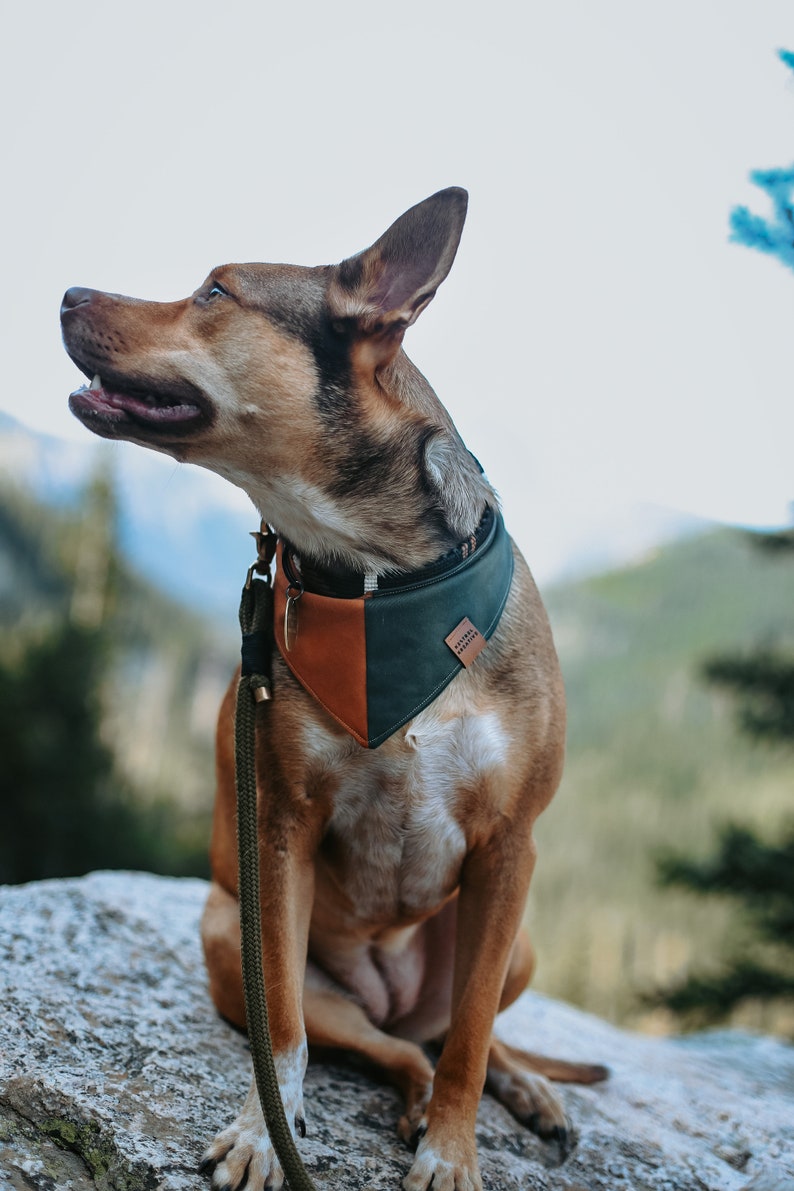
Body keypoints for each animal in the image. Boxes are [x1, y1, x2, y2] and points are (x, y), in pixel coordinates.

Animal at [63, 190, 609, 1191]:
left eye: (214, 291)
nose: (66, 291)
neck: (376, 586)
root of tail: (387, 989)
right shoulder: (281, 827)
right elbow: (282, 1023)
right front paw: (260, 1133)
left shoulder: (510, 848)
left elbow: (471, 1036)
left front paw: (453, 1152)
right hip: (227, 930)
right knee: (393, 1048)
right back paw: (415, 1098)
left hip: (517, 936)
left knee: (453, 1032)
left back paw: (518, 1088)